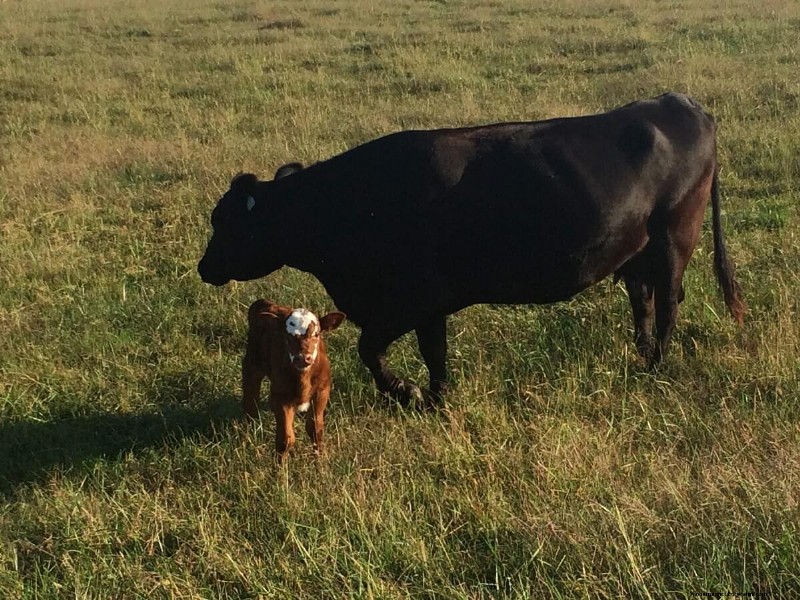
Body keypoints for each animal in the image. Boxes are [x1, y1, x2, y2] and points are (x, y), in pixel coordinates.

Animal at [198, 92, 745, 407]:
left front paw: (407, 393)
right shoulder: (430, 306)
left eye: (224, 221)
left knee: (669, 304)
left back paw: (659, 369)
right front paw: (437, 398)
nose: (204, 267)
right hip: (636, 252)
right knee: (644, 303)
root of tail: (679, 102)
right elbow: (434, 352)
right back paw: (644, 359)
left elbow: (369, 349)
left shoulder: (411, 298)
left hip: (675, 237)